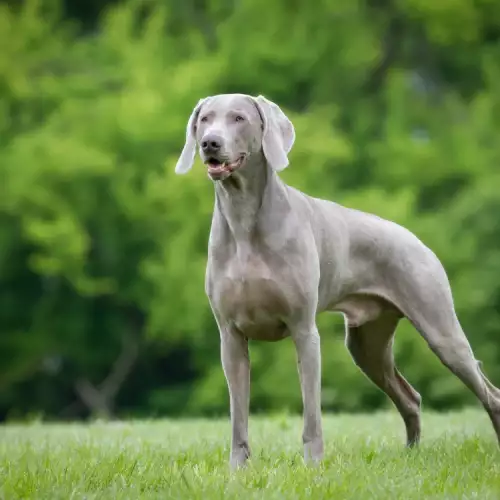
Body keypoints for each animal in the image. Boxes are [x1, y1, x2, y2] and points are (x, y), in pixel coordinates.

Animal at [175, 91, 500, 468]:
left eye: (239, 118)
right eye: (204, 119)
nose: (209, 143)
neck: (243, 219)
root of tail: (416, 238)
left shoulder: (304, 331)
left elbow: (312, 411)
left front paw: (312, 465)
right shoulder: (231, 336)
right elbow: (238, 414)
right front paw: (238, 469)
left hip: (441, 329)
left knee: (489, 393)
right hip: (366, 344)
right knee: (410, 397)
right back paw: (411, 454)